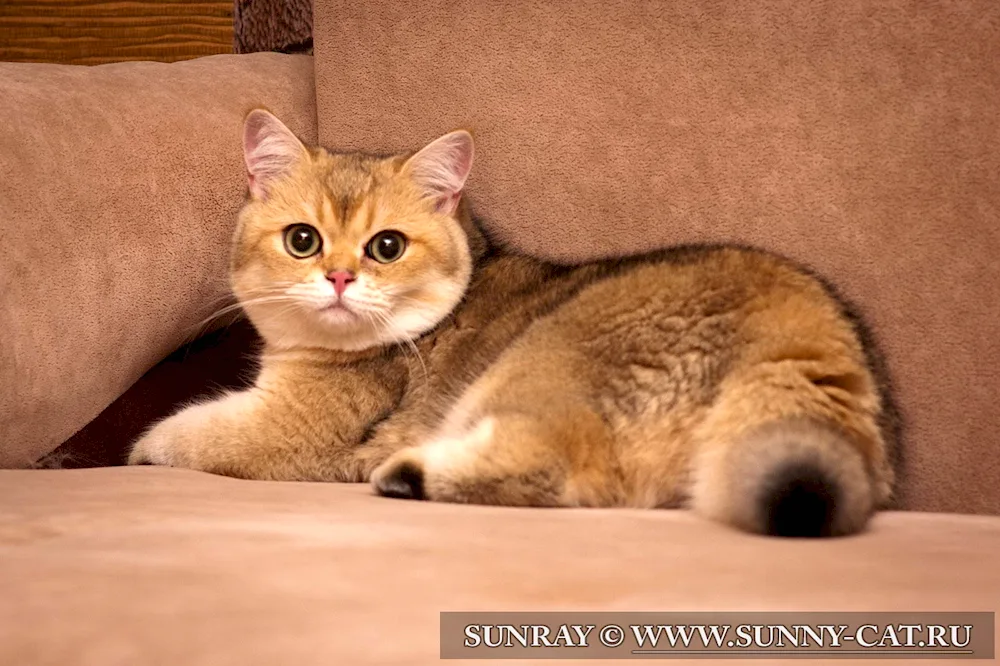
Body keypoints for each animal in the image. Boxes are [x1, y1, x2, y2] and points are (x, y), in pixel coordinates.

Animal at [127, 109, 900, 536]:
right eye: (302, 240)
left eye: (386, 246)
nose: (340, 278)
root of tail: (800, 325)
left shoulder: (287, 431)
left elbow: (182, 436)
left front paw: (139, 451)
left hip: (539, 362)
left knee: (562, 467)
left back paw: (406, 474)